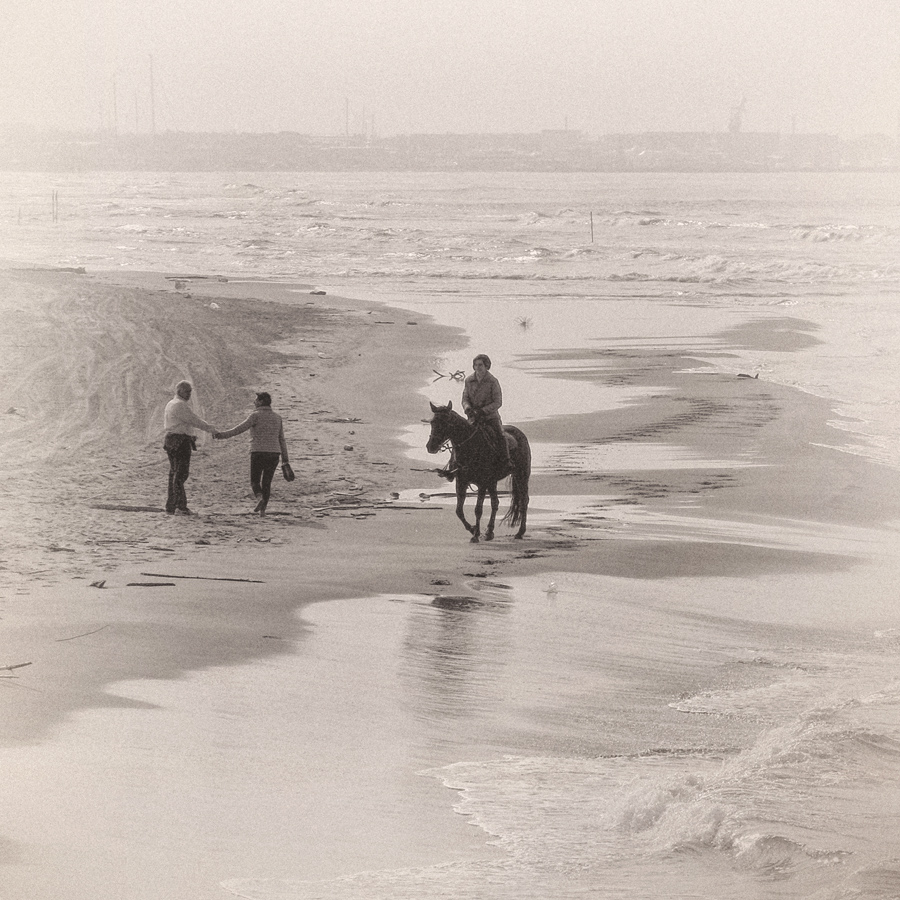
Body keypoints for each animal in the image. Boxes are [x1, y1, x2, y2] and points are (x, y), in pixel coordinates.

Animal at [428, 400, 532, 540]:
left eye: (445, 423)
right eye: (432, 422)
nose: (430, 447)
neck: (471, 445)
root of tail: (519, 433)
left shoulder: (482, 483)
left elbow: (478, 509)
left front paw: (475, 534)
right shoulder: (461, 482)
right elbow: (459, 511)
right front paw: (472, 529)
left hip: (521, 476)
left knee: (523, 501)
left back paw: (520, 532)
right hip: (493, 482)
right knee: (495, 503)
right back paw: (489, 532)